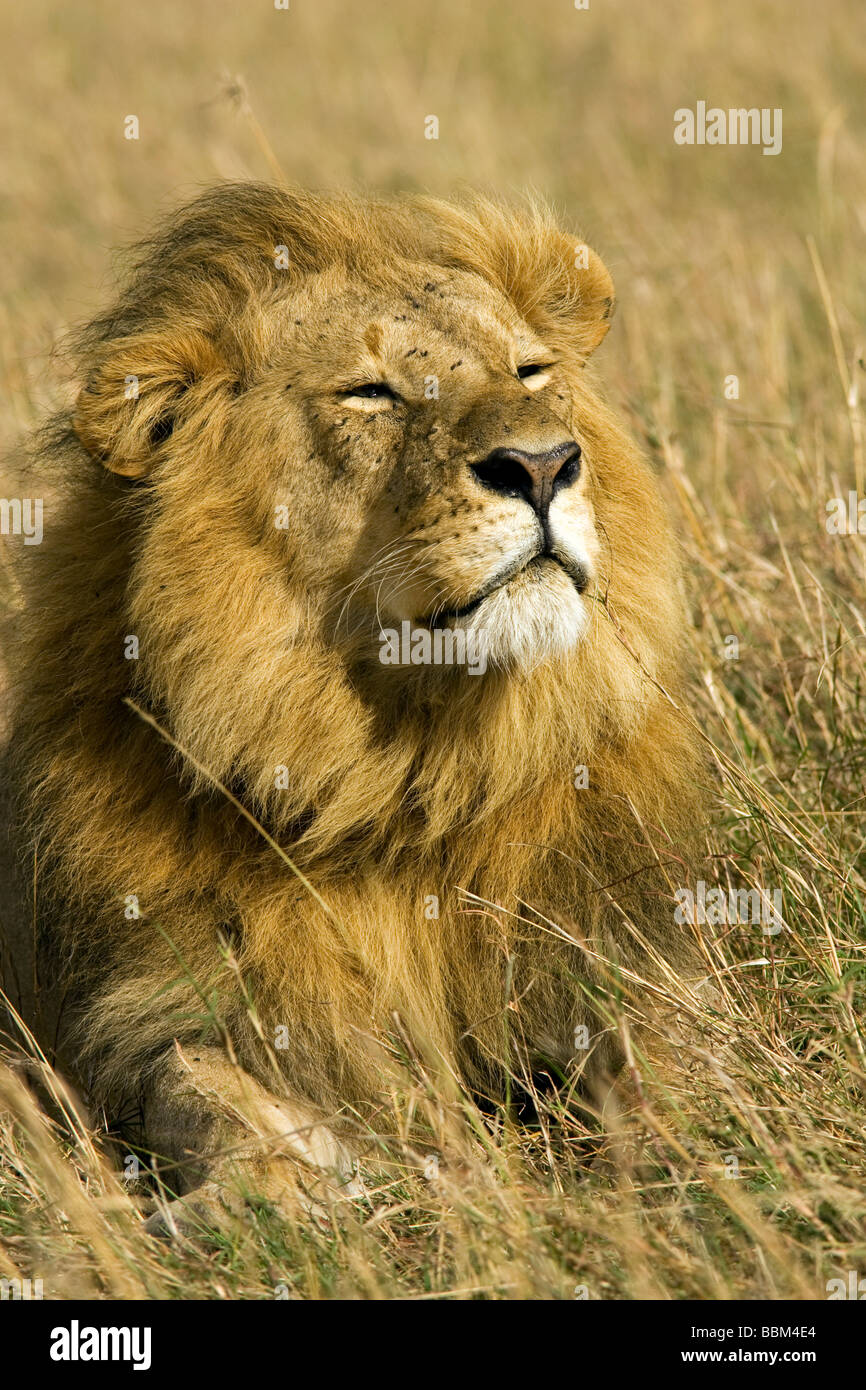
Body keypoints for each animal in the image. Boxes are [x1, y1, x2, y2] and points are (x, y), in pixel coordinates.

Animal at [1, 184, 707, 1226]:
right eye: (370, 393)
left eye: (531, 370)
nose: (545, 464)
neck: (407, 770)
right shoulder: (159, 1011)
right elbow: (201, 1092)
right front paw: (262, 1193)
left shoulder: (611, 952)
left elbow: (663, 1055)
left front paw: (694, 1151)